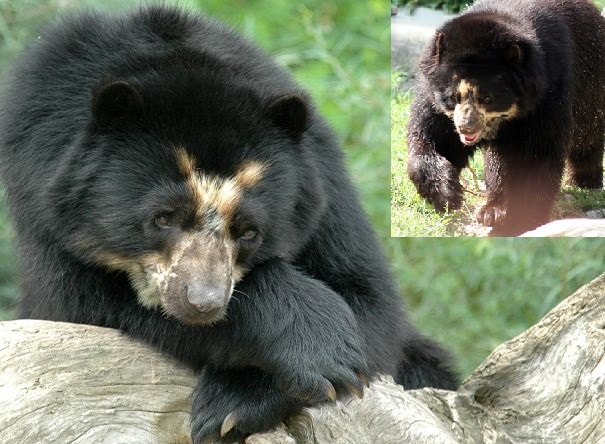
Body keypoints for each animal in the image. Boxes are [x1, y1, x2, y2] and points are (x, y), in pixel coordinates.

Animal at [0, 5, 456, 442]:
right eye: (162, 218)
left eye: (249, 231)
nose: (203, 303)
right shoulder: (40, 181)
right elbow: (77, 297)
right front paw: (318, 346)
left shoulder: (323, 184)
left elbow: (369, 300)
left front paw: (233, 404)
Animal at [406, 0, 604, 236]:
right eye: (453, 96)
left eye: (488, 98)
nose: (466, 128)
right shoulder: (436, 102)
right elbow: (435, 138)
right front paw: (447, 195)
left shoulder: (547, 97)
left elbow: (536, 156)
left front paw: (520, 220)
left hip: (591, 86)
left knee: (588, 136)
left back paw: (585, 180)